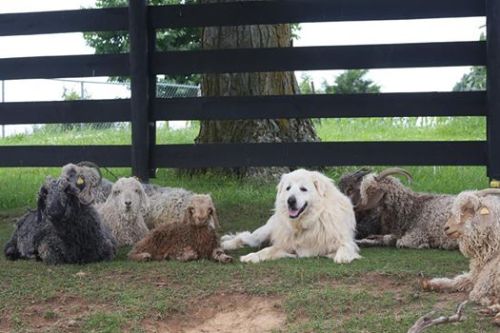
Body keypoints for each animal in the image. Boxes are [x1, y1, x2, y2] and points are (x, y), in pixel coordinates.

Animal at [222, 169, 360, 262]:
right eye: (288, 188)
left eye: (303, 189)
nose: (290, 201)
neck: (312, 220)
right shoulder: (285, 245)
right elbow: (267, 250)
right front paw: (252, 256)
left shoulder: (345, 240)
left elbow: (345, 247)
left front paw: (342, 257)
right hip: (261, 235)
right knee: (244, 236)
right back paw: (227, 244)